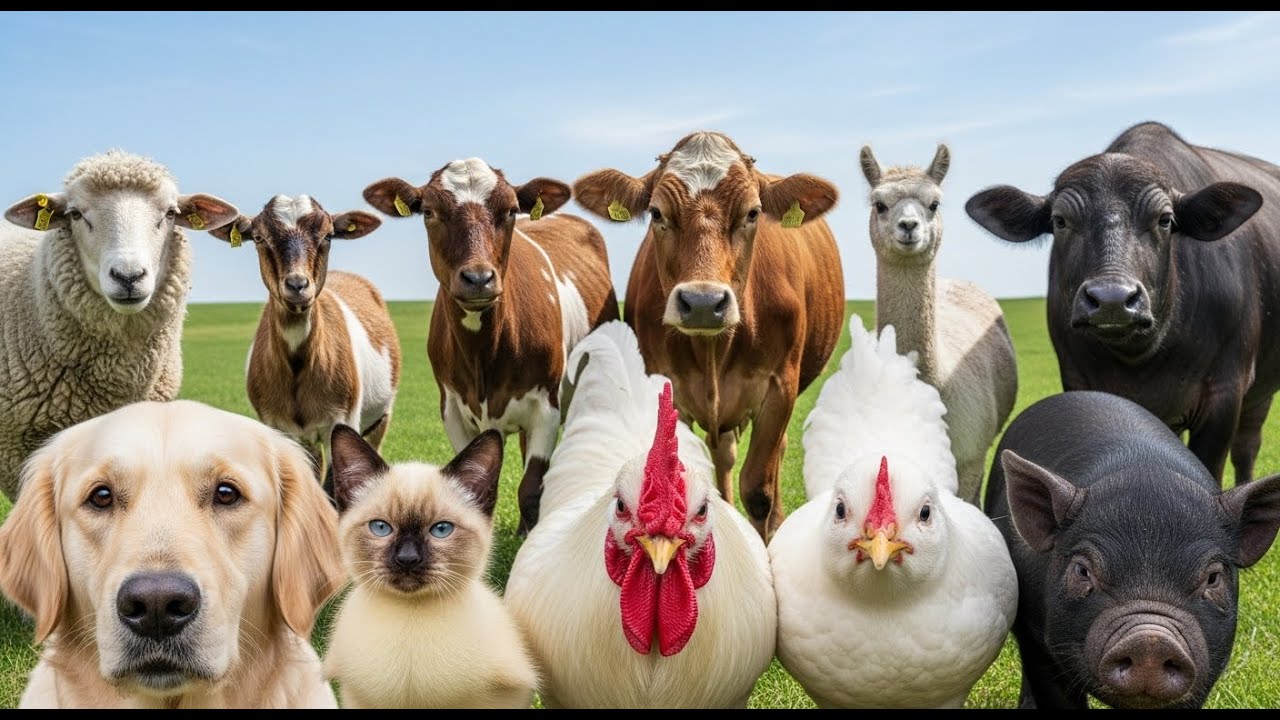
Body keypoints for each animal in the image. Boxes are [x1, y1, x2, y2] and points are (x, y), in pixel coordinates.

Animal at [364, 159, 619, 533]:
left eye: (511, 210)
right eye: (429, 211)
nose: (478, 278)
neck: (482, 355)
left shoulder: (546, 405)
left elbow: (531, 488)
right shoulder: (452, 408)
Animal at [574, 131, 845, 539]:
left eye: (752, 213)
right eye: (657, 213)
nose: (703, 302)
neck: (712, 349)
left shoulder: (780, 386)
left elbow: (759, 490)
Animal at [966, 121, 1279, 485]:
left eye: (1165, 219)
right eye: (1060, 221)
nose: (1112, 299)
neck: (1145, 355)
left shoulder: (1225, 394)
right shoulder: (1079, 381)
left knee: (1247, 447)